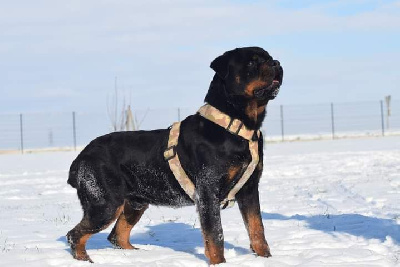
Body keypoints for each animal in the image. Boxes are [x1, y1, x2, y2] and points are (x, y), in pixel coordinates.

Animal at [67, 46, 282, 266]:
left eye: (269, 57)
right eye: (251, 62)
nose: (277, 63)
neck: (236, 127)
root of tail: (80, 158)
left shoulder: (249, 189)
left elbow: (257, 229)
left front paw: (267, 259)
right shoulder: (207, 192)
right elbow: (215, 235)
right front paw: (219, 262)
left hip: (135, 202)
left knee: (116, 236)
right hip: (105, 202)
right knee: (75, 235)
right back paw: (85, 260)